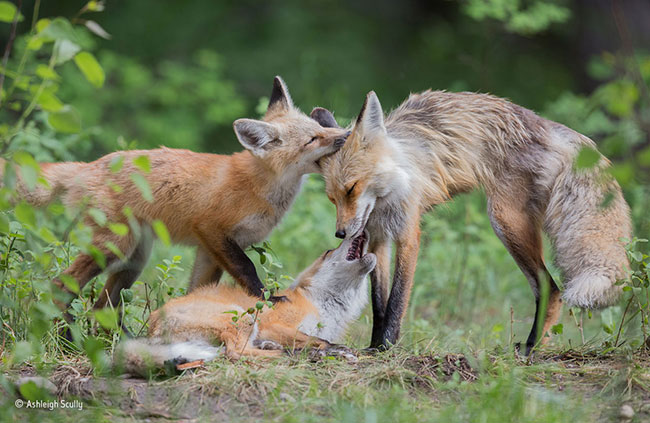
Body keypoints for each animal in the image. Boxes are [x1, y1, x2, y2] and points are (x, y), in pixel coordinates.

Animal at [2, 76, 350, 332]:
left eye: (320, 128)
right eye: (312, 140)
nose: (346, 135)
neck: (259, 186)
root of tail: (88, 166)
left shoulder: (210, 251)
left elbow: (197, 292)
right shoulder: (211, 230)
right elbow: (248, 269)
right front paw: (269, 300)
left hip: (134, 260)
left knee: (102, 308)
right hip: (114, 247)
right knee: (59, 287)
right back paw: (69, 335)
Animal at [116, 230, 374, 376]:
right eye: (329, 251)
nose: (362, 229)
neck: (325, 306)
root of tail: (154, 324)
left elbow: (321, 339)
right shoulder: (276, 325)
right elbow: (321, 340)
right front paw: (339, 351)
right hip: (243, 318)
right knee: (236, 353)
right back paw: (298, 355)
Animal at [314, 91, 628, 356]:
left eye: (352, 188)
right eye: (332, 198)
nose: (340, 232)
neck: (386, 195)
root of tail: (546, 124)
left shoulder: (408, 235)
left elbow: (396, 301)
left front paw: (388, 347)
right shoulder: (378, 239)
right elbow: (379, 304)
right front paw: (375, 345)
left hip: (504, 221)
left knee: (551, 289)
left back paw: (531, 347)